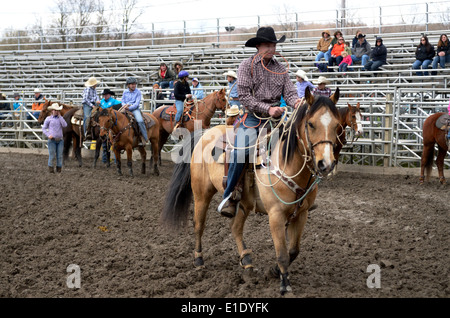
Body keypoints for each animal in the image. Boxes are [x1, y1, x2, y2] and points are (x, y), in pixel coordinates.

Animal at [160, 87, 340, 296]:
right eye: (310, 124)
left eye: (337, 125)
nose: (326, 163)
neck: (286, 162)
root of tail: (205, 132)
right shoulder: (276, 215)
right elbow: (282, 254)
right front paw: (284, 285)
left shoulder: (301, 214)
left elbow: (293, 251)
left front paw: (273, 271)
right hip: (201, 195)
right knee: (199, 226)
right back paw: (198, 259)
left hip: (244, 203)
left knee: (235, 228)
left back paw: (246, 261)